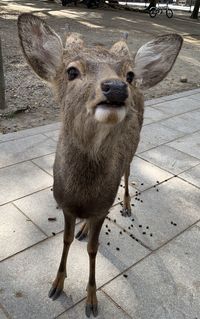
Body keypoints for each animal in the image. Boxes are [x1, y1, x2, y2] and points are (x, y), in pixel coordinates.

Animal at [18, 12, 182, 318]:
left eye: (128, 74)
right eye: (71, 71)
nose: (116, 87)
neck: (84, 196)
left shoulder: (103, 206)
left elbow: (94, 250)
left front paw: (92, 300)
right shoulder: (65, 204)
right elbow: (66, 240)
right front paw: (56, 285)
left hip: (132, 151)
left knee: (127, 173)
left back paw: (127, 206)